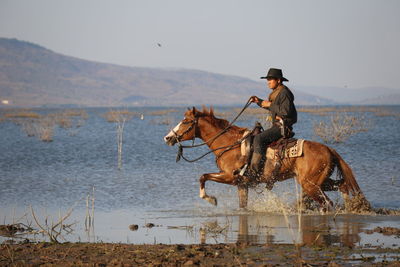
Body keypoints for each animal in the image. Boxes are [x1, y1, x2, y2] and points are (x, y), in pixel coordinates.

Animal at [162, 107, 368, 214]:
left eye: (185, 122)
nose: (168, 138)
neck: (229, 144)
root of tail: (328, 149)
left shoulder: (231, 177)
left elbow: (203, 176)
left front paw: (211, 199)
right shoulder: (242, 184)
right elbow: (242, 205)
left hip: (310, 184)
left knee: (327, 204)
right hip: (320, 181)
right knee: (342, 186)